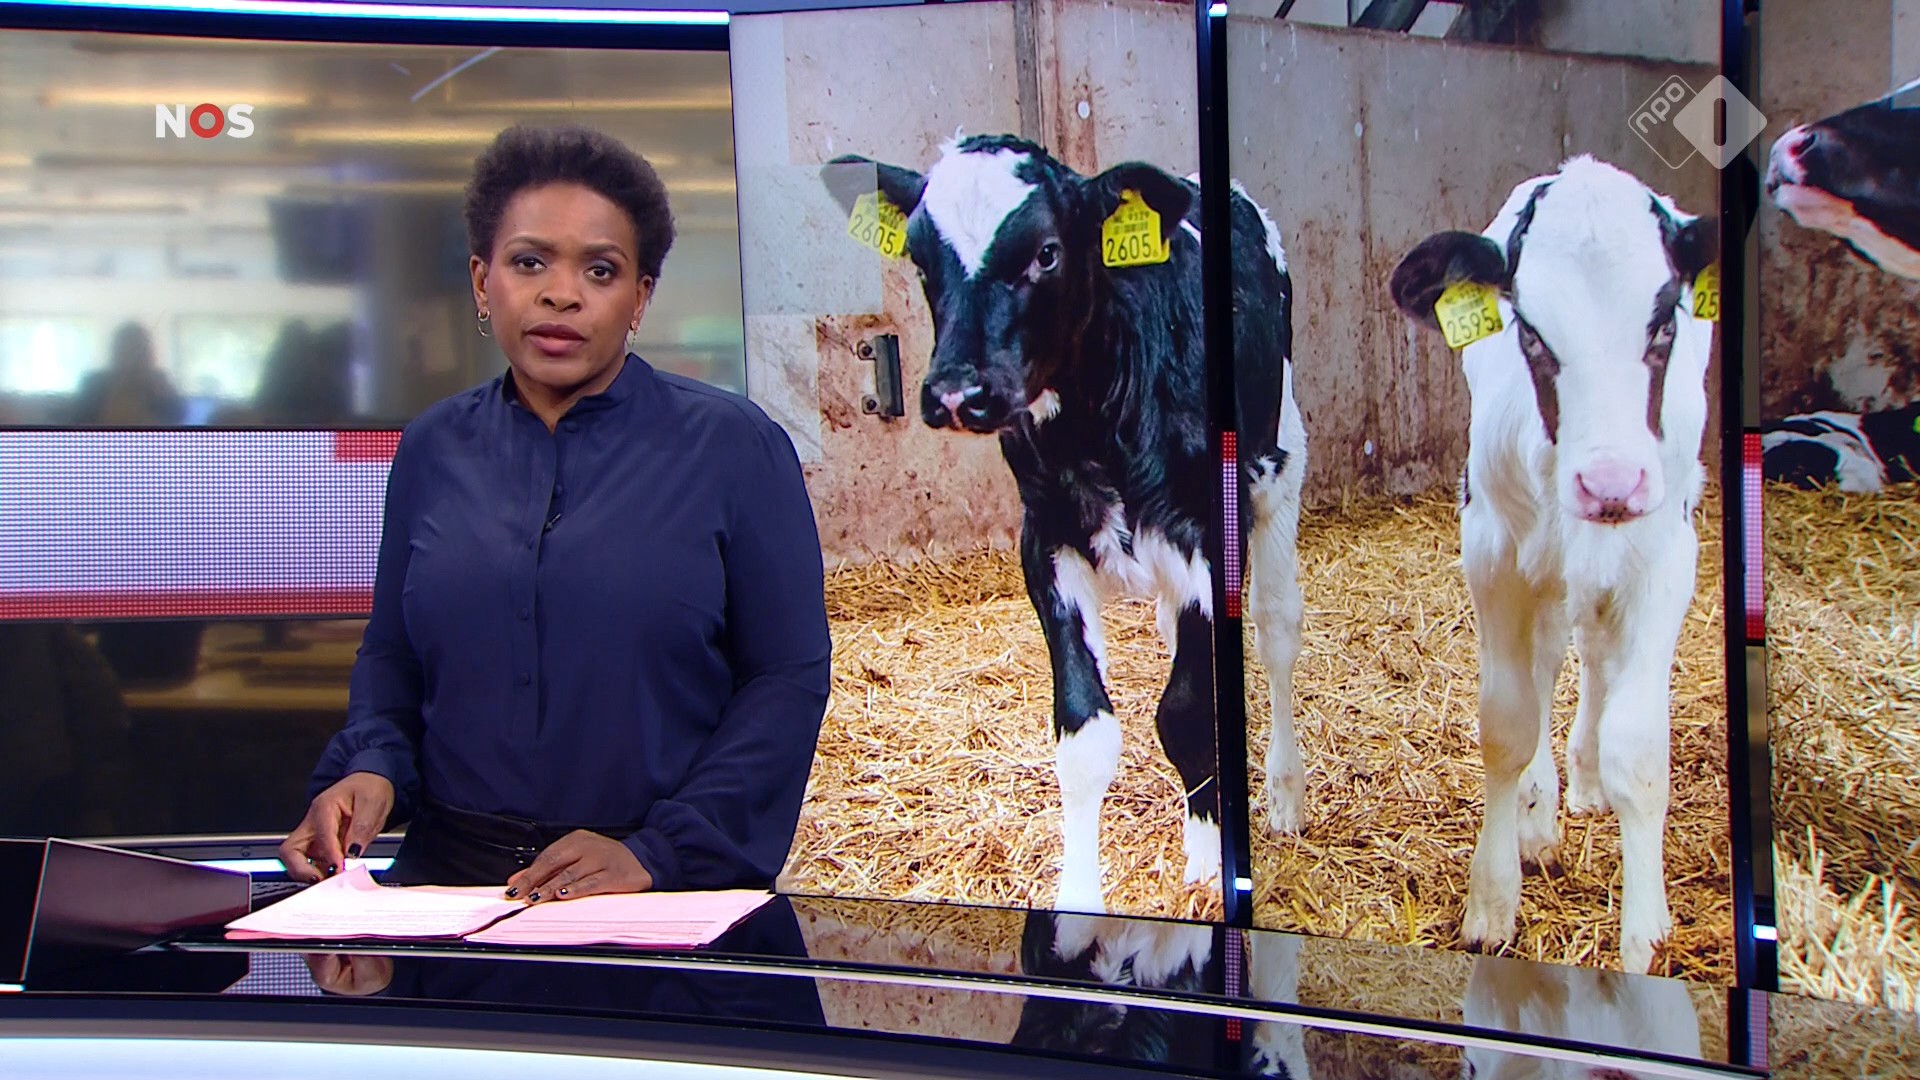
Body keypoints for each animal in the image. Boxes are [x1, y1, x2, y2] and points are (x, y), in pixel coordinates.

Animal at [823, 134, 1307, 913]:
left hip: (1280, 460)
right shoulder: (1046, 543)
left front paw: (1208, 860)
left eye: (1047, 253)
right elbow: (1084, 734)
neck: (1097, 424)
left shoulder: (1207, 537)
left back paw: (1286, 793)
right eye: (921, 260)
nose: (956, 392)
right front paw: (1080, 898)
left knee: (1277, 630)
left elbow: (1188, 711)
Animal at [1389, 156, 1719, 974]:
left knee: (1596, 654)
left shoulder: (1665, 558)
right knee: (1545, 661)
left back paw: (1587, 775)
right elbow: (1507, 724)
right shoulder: (1492, 554)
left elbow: (1641, 750)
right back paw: (1538, 815)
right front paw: (1493, 895)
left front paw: (1644, 937)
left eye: (1665, 322)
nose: (1610, 484)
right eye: (1531, 333)